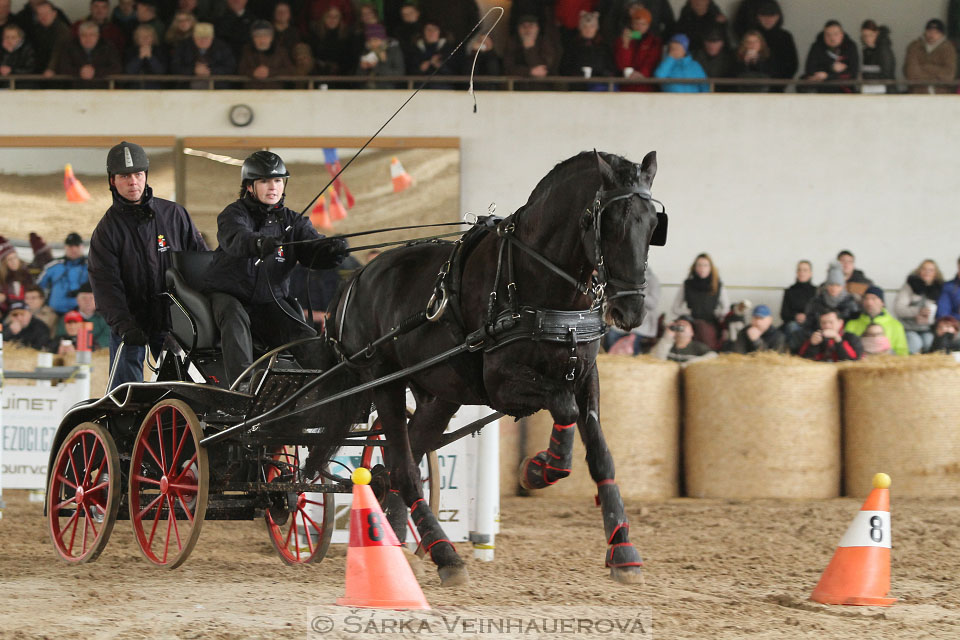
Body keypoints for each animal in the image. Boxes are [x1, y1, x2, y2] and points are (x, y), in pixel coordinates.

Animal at [312, 149, 664, 584]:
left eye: (654, 224)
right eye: (608, 222)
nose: (630, 311)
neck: (536, 279)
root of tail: (357, 277)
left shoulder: (585, 375)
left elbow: (600, 453)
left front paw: (623, 551)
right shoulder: (501, 383)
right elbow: (563, 407)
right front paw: (538, 469)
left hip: (440, 394)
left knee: (400, 459)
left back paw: (400, 544)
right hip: (383, 380)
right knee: (404, 467)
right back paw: (445, 555)